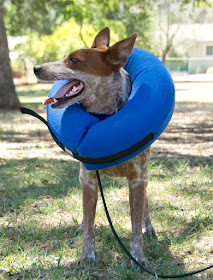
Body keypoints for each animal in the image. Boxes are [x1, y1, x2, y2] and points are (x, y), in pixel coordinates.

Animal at [33, 27, 156, 266]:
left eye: (73, 59)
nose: (36, 68)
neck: (104, 115)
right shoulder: (89, 180)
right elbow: (89, 222)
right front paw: (86, 255)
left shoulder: (138, 179)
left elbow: (136, 224)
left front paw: (138, 258)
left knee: (144, 205)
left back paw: (150, 228)